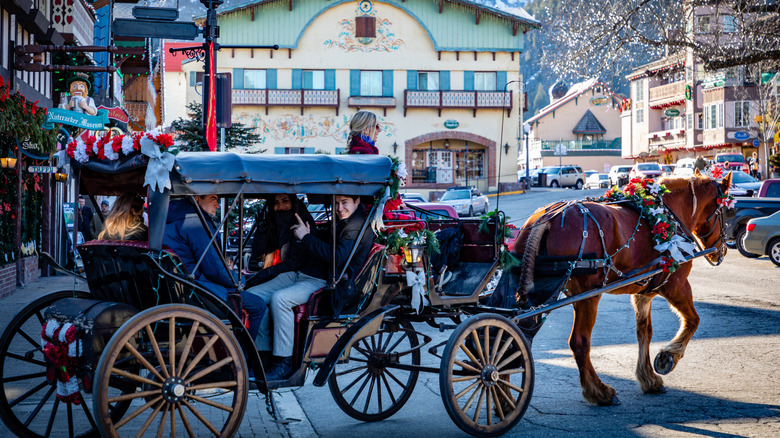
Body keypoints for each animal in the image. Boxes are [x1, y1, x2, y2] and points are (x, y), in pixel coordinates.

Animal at [512, 173, 732, 406]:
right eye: (724, 211)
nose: (722, 250)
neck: (670, 216)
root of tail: (547, 217)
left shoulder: (643, 294)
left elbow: (645, 333)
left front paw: (648, 378)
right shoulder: (676, 285)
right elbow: (693, 320)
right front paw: (668, 357)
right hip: (588, 296)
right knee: (579, 342)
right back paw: (599, 391)